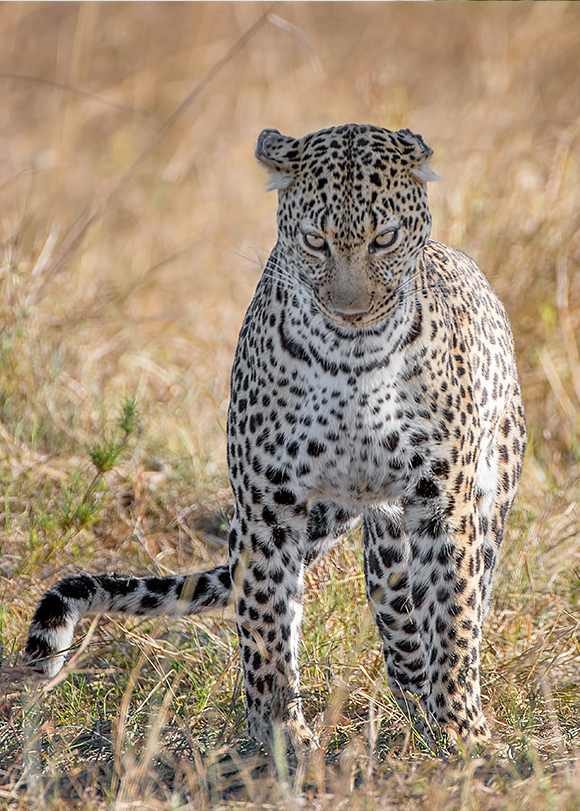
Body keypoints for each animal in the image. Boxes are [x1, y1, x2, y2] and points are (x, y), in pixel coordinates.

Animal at [22, 123, 524, 760]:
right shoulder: (266, 509)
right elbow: (265, 627)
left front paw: (466, 736)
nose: (350, 310)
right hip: (374, 544)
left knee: (457, 601)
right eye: (315, 240)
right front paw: (284, 739)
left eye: (384, 238)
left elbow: (455, 617)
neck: (352, 359)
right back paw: (411, 709)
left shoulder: (443, 502)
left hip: (484, 493)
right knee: (397, 628)